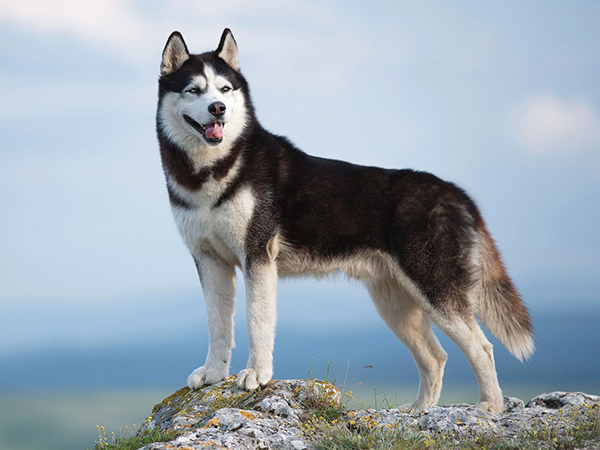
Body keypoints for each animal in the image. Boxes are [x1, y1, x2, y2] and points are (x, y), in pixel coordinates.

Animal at [157, 29, 532, 414]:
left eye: (225, 89)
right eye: (194, 90)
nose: (218, 108)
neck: (214, 170)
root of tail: (457, 192)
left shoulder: (257, 256)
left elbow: (256, 321)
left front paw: (257, 374)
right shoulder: (209, 260)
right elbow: (217, 325)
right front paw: (214, 373)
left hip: (435, 289)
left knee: (482, 347)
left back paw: (489, 407)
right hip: (395, 302)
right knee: (435, 356)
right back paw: (419, 410)